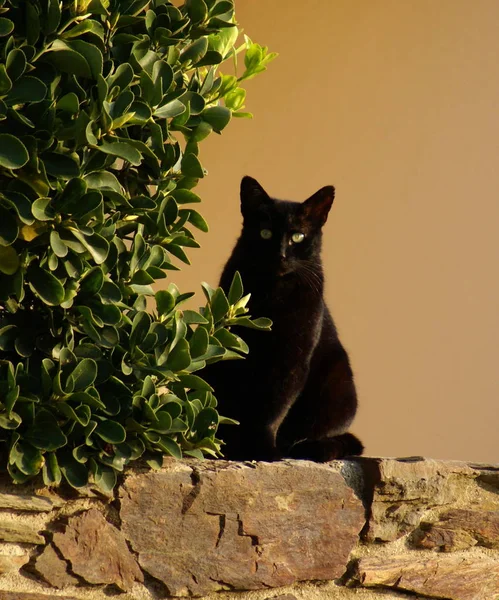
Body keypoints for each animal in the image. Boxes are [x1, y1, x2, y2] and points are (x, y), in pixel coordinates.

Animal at [203, 176, 364, 462]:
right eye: (265, 232)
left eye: (297, 236)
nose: (280, 255)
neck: (274, 294)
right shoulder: (230, 350)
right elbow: (229, 407)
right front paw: (226, 448)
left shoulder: (292, 359)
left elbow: (273, 410)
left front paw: (265, 452)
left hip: (340, 388)